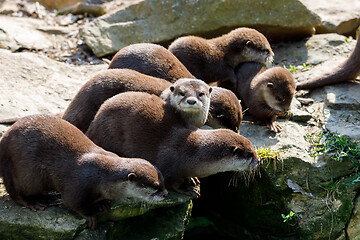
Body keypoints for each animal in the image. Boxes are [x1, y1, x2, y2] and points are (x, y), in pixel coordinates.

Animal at [0, 115, 166, 230]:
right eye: (154, 186)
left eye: (163, 183)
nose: (165, 194)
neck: (103, 178)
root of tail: (3, 142)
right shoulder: (79, 184)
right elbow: (70, 202)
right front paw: (90, 215)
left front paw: (101, 204)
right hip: (23, 172)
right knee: (15, 193)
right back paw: (33, 202)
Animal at [84, 91, 258, 198]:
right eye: (249, 154)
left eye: (253, 149)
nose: (258, 160)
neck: (193, 154)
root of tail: (93, 122)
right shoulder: (168, 164)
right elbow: (172, 182)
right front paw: (189, 189)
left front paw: (192, 179)